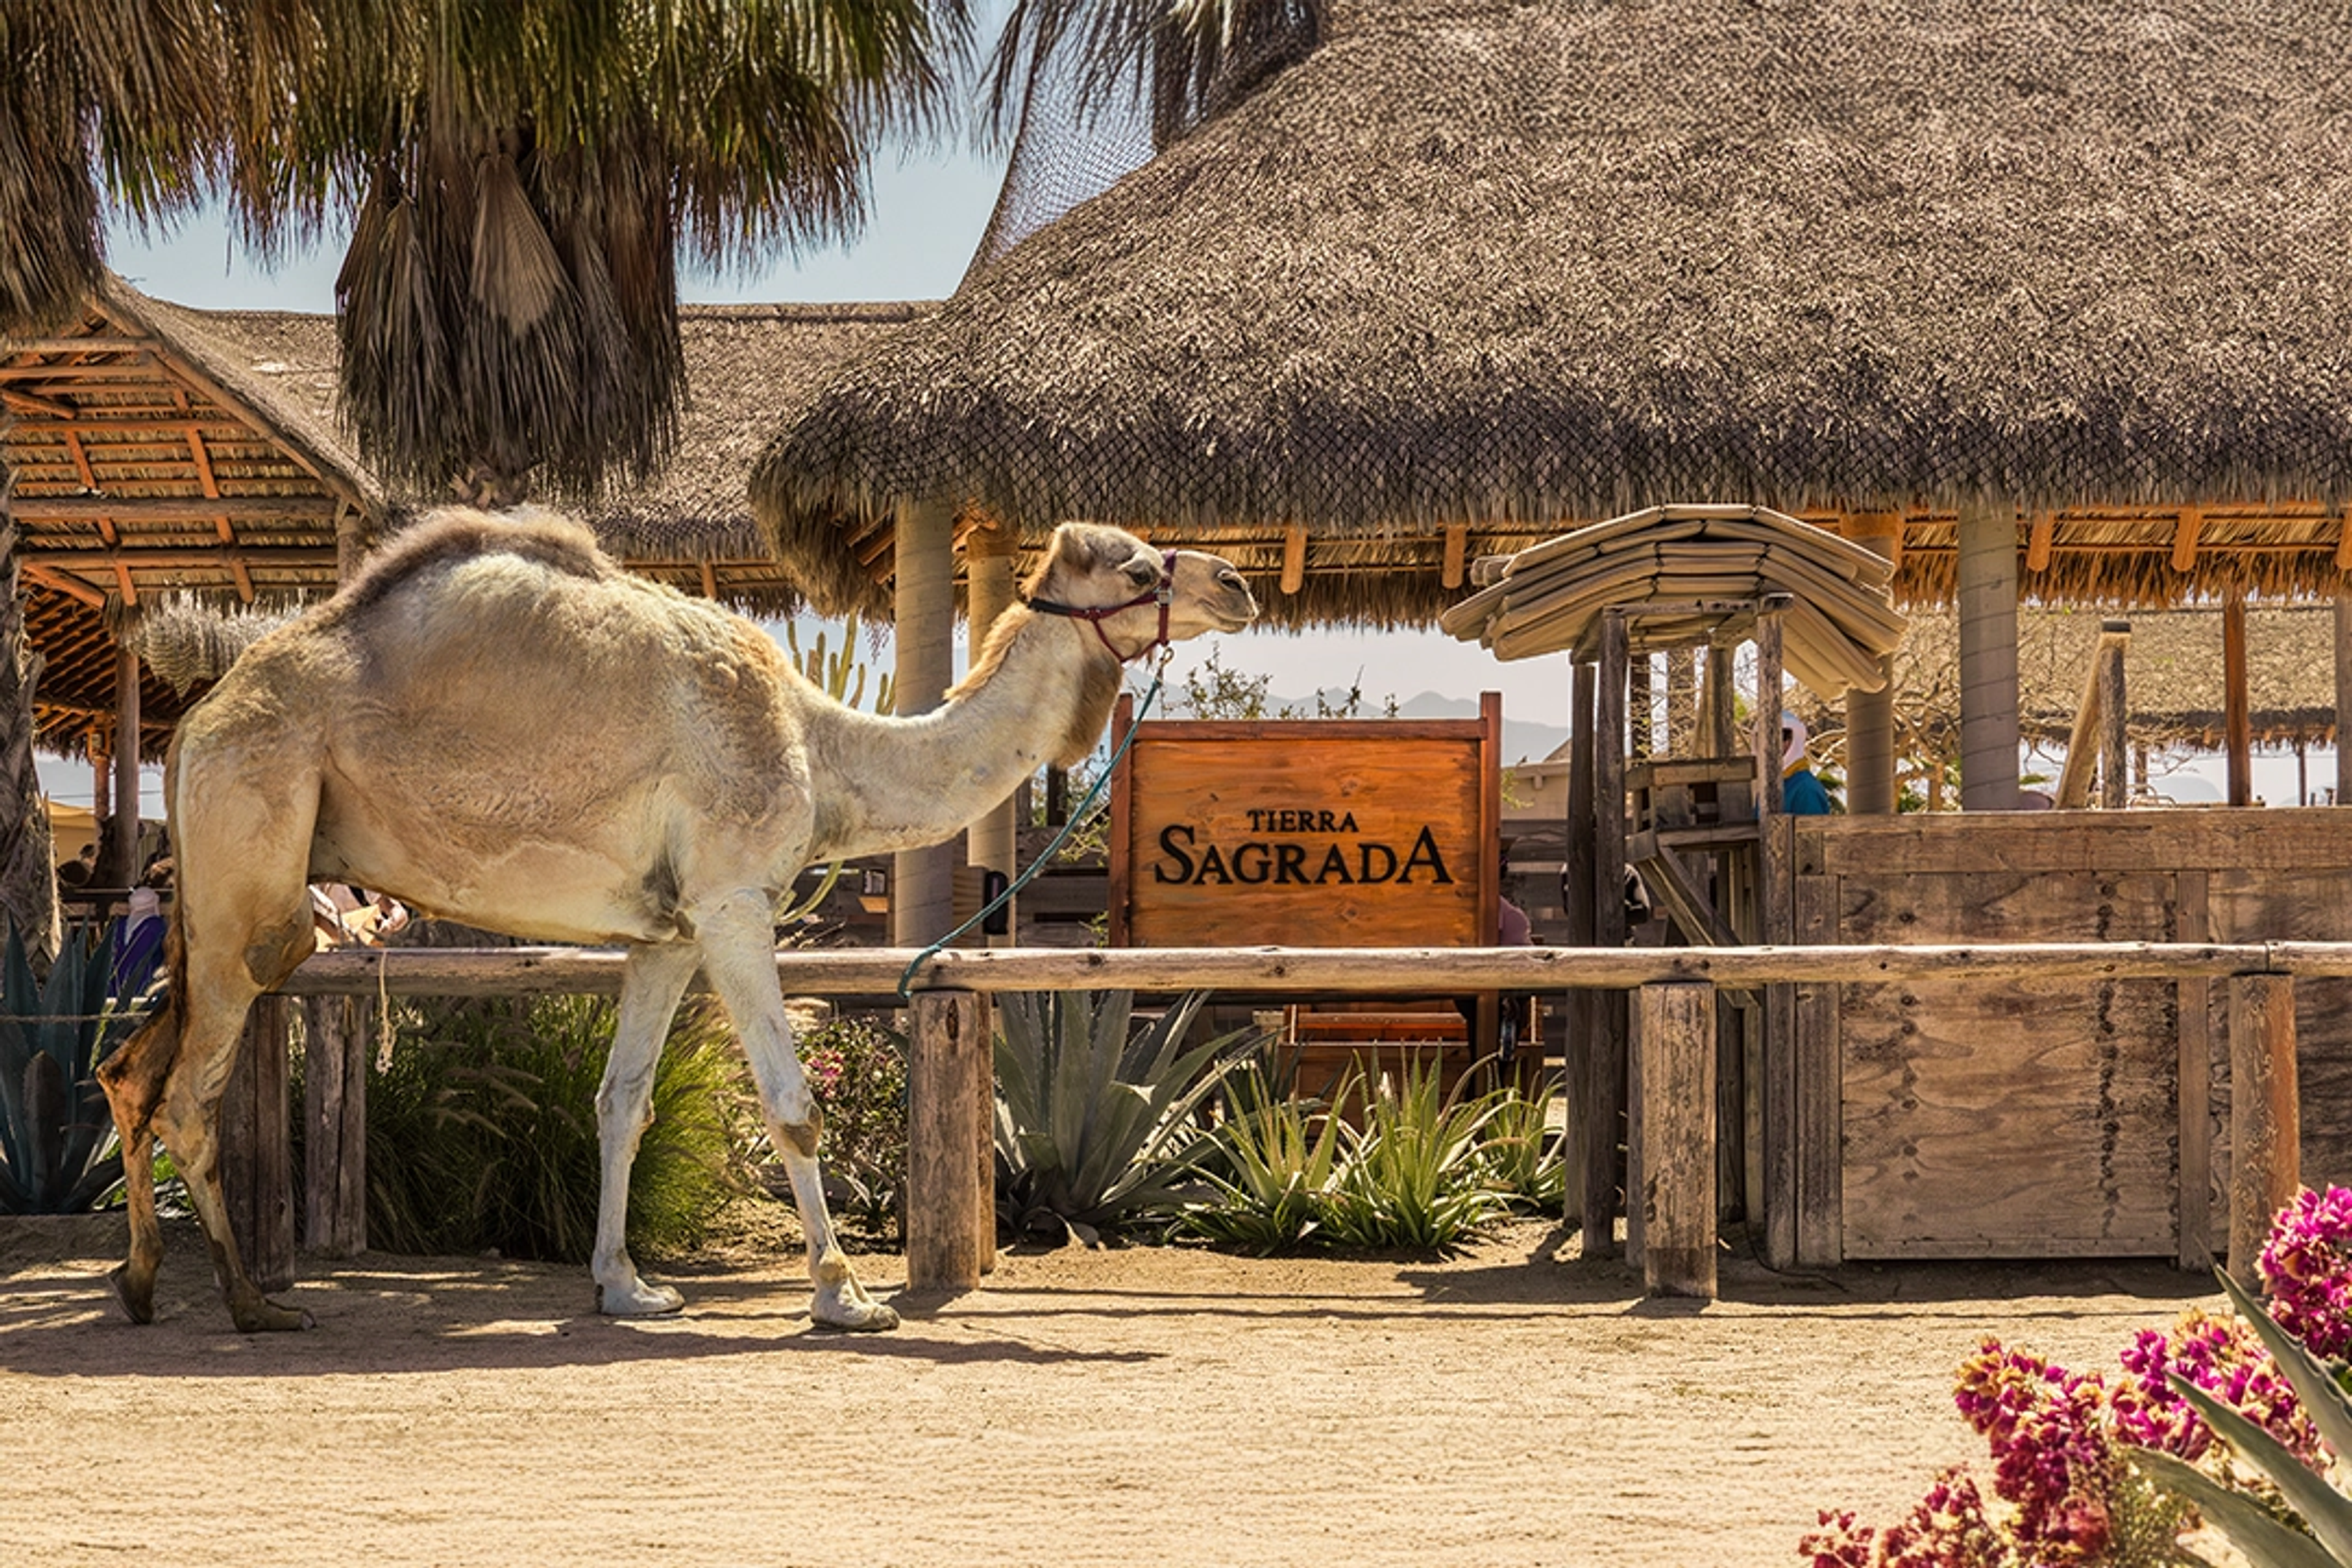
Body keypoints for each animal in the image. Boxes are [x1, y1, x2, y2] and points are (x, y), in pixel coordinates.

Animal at [96, 507, 1258, 1333]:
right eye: (1138, 570)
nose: (1238, 582)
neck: (824, 748)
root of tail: (196, 720)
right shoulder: (734, 901)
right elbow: (793, 1105)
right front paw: (845, 1294)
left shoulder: (665, 934)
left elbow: (623, 1104)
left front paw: (626, 1287)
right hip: (255, 851)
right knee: (191, 1089)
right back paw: (251, 1304)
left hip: (213, 899)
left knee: (128, 1071)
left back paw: (144, 1284)